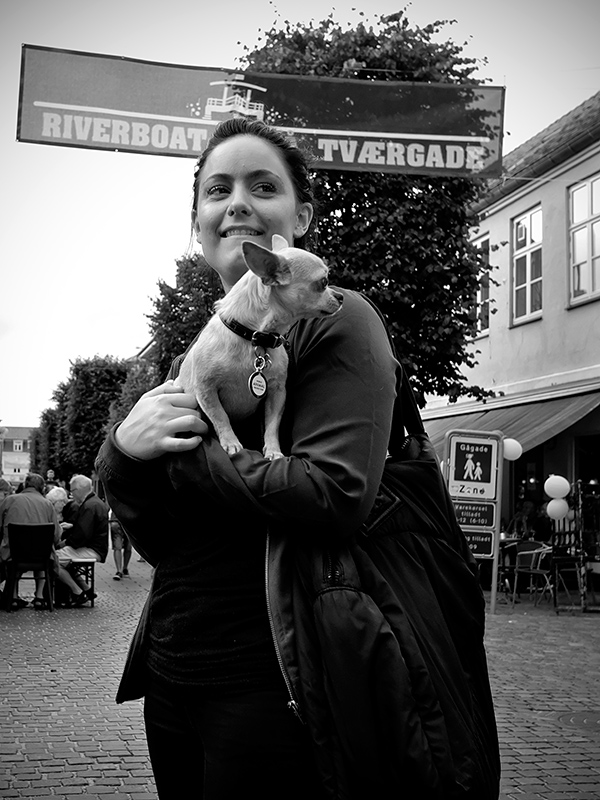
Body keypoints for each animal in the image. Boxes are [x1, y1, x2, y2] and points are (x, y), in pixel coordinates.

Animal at [177, 233, 342, 456]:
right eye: (323, 282)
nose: (340, 296)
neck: (254, 337)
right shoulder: (205, 390)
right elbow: (221, 417)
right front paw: (231, 443)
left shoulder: (276, 393)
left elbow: (272, 426)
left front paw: (273, 451)